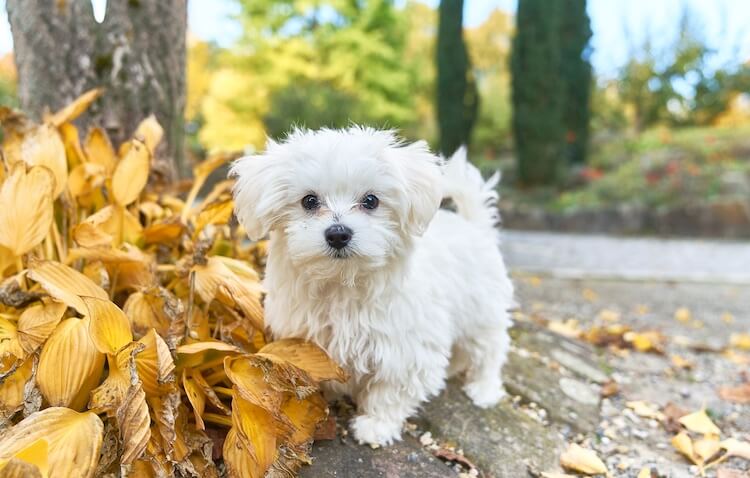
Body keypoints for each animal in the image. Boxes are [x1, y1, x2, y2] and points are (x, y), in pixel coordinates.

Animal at [232, 128, 516, 448]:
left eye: (370, 200)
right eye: (309, 201)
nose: (338, 233)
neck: (344, 284)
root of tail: (475, 226)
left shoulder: (405, 350)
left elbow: (391, 390)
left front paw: (376, 425)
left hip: (482, 312)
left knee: (491, 349)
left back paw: (484, 388)